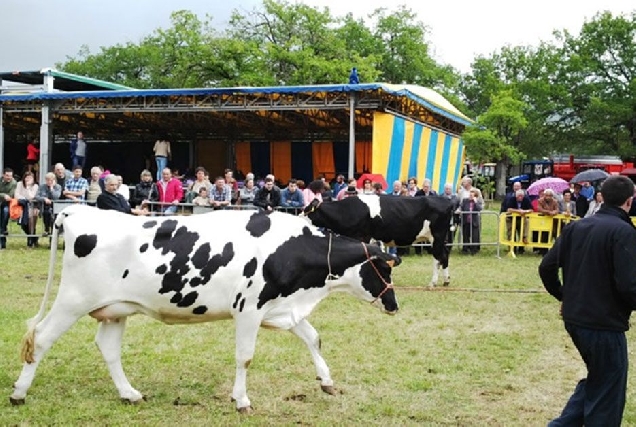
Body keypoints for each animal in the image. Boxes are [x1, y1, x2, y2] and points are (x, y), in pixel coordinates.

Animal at [8, 207, 398, 414]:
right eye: (386, 268)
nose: (395, 304)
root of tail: (77, 210)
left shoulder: (281, 309)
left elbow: (313, 339)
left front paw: (327, 382)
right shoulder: (249, 309)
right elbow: (245, 357)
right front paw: (241, 400)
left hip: (115, 309)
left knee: (108, 349)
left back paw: (130, 393)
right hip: (73, 299)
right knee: (40, 339)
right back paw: (18, 393)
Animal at [302, 195, 454, 288]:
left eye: (307, 210)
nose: (298, 217)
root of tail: (445, 200)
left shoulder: (363, 236)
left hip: (437, 237)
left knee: (438, 257)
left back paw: (433, 283)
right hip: (438, 239)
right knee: (444, 255)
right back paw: (444, 281)